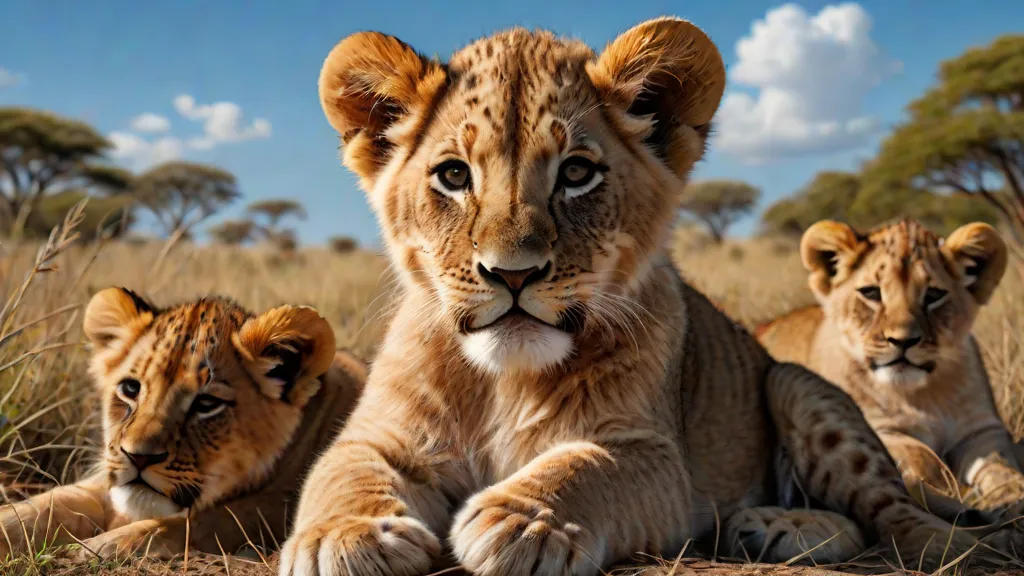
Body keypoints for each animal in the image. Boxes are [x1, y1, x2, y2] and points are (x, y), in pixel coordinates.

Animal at [0, 288, 365, 559]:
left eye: (206, 404)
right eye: (130, 389)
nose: (138, 457)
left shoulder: (288, 502)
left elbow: (204, 520)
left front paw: (98, 548)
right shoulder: (102, 480)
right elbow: (43, 506)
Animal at [757, 218, 1024, 518]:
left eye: (933, 295)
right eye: (871, 293)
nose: (903, 340)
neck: (921, 395)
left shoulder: (982, 430)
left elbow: (1002, 466)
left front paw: (1011, 494)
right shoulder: (873, 427)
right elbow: (923, 455)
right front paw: (952, 491)